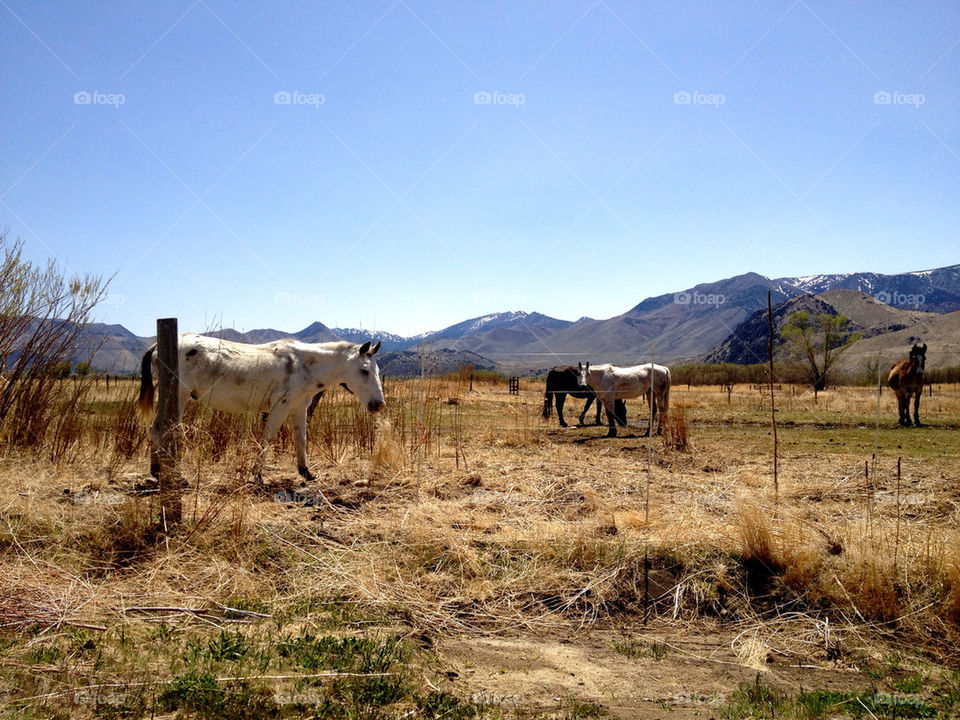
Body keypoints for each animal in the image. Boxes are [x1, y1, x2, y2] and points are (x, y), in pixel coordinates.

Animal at [137, 334, 384, 480]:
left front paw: (305, 472)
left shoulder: (299, 408)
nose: (378, 405)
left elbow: (300, 439)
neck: (303, 365)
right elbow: (266, 438)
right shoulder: (280, 407)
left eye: (378, 371)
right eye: (364, 370)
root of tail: (158, 345)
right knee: (160, 428)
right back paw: (160, 471)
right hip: (178, 396)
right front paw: (257, 474)